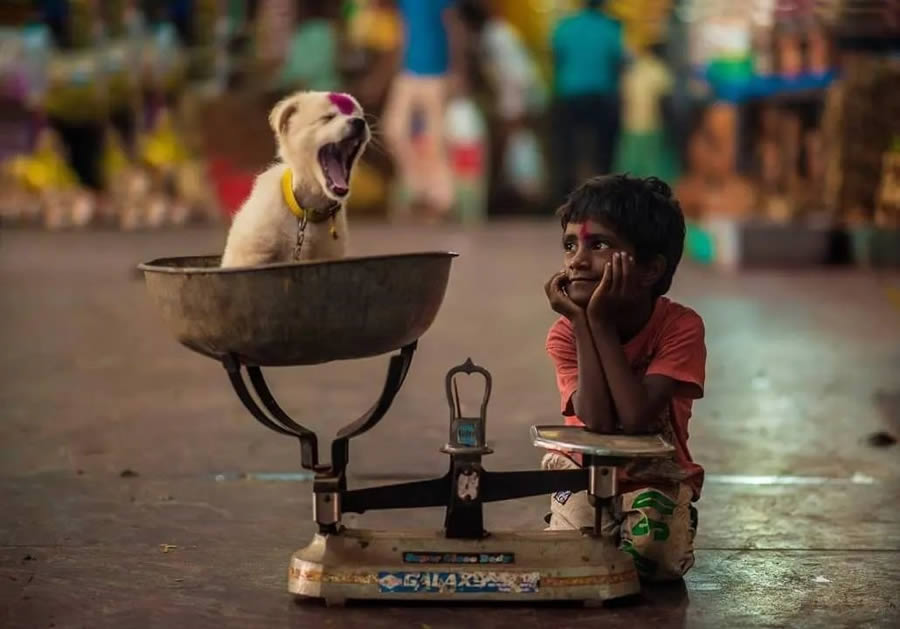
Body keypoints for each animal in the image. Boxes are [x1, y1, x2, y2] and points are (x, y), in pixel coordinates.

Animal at [221, 91, 370, 264]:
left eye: (361, 117)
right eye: (327, 117)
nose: (359, 122)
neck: (307, 212)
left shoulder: (325, 254)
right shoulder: (252, 252)